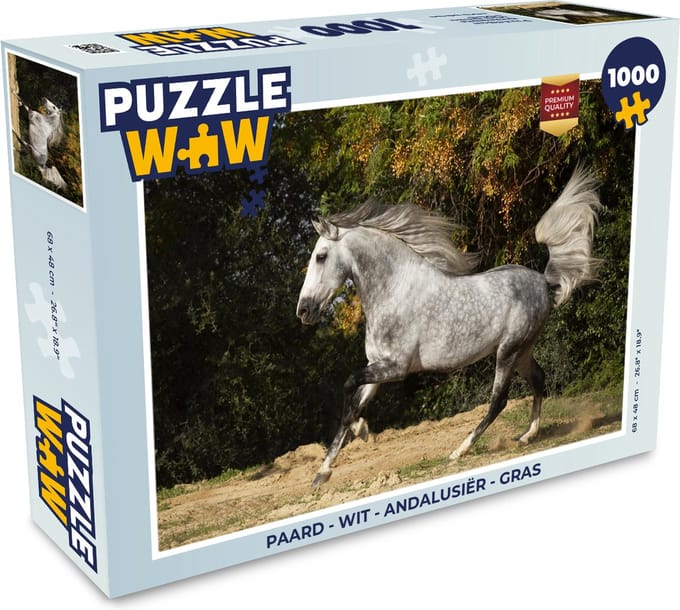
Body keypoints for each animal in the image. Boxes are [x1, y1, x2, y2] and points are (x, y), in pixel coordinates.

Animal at [296, 165, 603, 487]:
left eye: (320, 256)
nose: (303, 310)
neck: (394, 290)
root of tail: (545, 284)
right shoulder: (377, 366)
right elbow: (352, 406)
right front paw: (322, 473)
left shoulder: (395, 368)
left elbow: (348, 387)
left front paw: (362, 431)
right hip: (522, 351)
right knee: (539, 380)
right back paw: (526, 436)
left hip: (507, 352)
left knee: (498, 401)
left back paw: (459, 451)